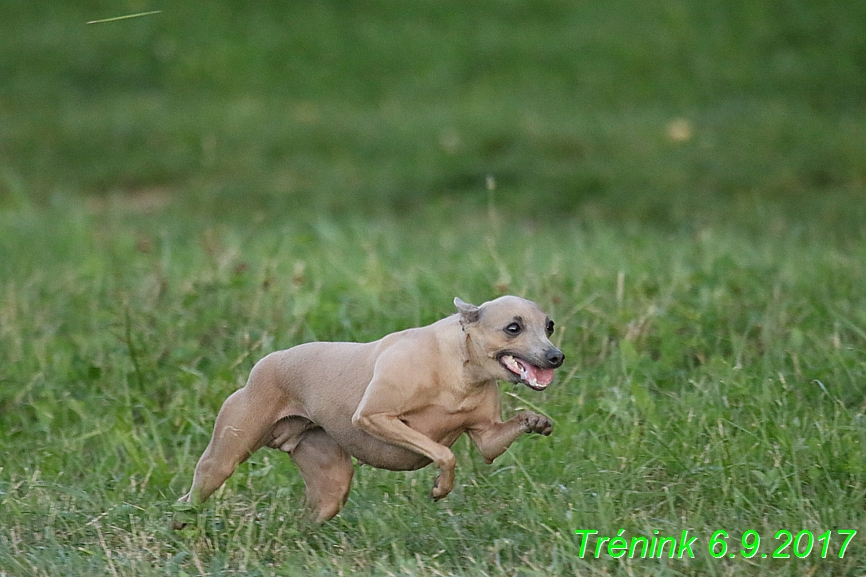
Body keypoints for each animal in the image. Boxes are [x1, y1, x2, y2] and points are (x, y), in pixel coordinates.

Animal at [173, 294, 564, 524]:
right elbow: (444, 454)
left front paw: (535, 421)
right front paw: (440, 488)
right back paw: (181, 522)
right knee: (192, 493)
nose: (555, 356)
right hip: (223, 459)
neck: (461, 369)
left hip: (331, 485)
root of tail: (265, 362)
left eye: (549, 325)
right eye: (513, 327)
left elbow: (491, 442)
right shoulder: (375, 417)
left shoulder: (486, 438)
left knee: (310, 514)